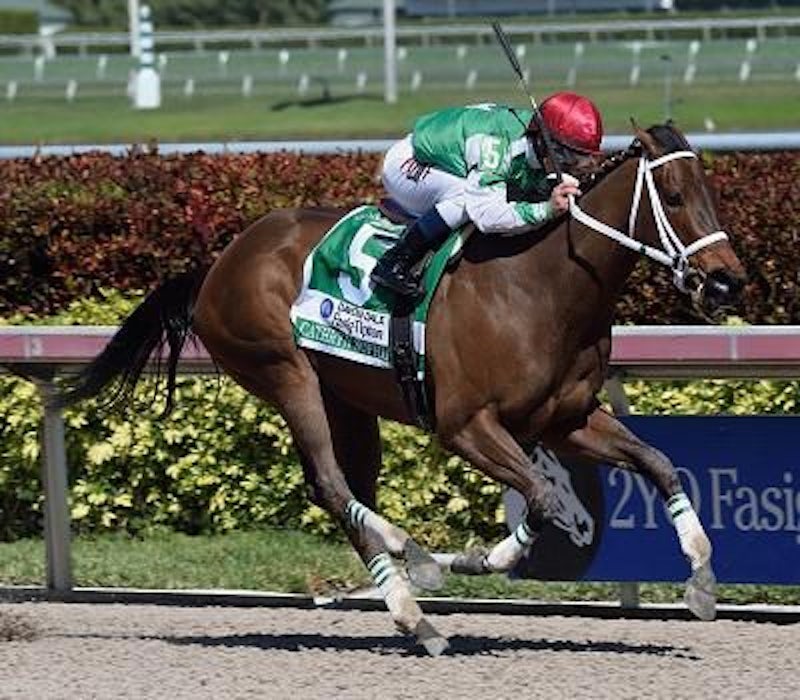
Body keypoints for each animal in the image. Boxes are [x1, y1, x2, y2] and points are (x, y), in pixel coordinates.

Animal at [60, 122, 746, 656]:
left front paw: (701, 581)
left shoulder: (566, 419)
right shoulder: (466, 425)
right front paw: (473, 561)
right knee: (330, 484)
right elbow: (543, 498)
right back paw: (410, 560)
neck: (544, 286)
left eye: (710, 192)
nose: (727, 283)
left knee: (343, 491)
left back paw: (413, 612)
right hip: (285, 370)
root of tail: (218, 264)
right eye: (675, 197)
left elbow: (657, 463)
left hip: (346, 400)